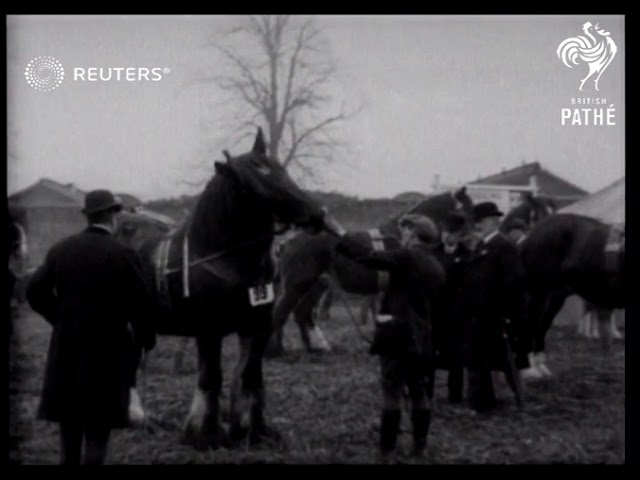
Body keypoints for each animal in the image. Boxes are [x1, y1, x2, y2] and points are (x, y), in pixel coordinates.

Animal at [126, 128, 324, 450]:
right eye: (252, 183)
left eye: (280, 169)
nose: (317, 213)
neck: (222, 258)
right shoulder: (208, 330)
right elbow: (211, 377)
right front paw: (205, 433)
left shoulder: (257, 326)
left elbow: (251, 376)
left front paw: (253, 430)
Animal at [266, 188, 476, 356]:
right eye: (466, 210)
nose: (473, 241)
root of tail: (287, 241)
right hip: (298, 283)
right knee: (282, 312)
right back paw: (276, 350)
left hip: (317, 283)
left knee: (302, 312)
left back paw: (316, 348)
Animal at [520, 215, 624, 378]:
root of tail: (530, 235)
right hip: (538, 292)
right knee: (531, 324)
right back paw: (530, 370)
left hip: (555, 296)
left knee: (542, 325)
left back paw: (540, 368)